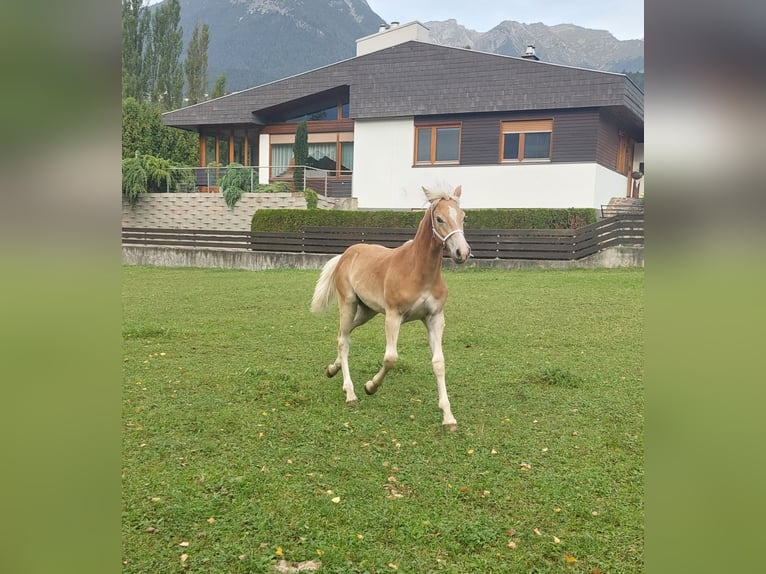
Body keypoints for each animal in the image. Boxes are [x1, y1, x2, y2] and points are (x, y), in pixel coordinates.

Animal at [310, 187, 468, 430]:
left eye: (463, 217)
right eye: (440, 219)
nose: (463, 252)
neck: (418, 271)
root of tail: (345, 254)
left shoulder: (435, 318)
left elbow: (439, 363)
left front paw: (448, 417)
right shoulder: (393, 316)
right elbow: (391, 358)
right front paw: (370, 386)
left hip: (367, 311)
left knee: (344, 336)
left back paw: (332, 369)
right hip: (348, 304)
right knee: (343, 340)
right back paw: (350, 393)